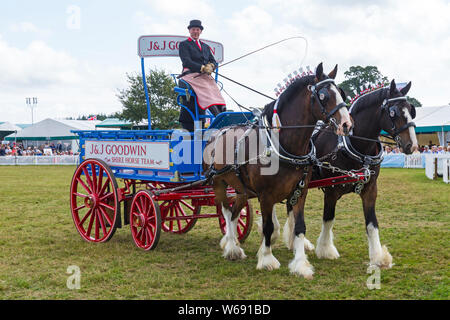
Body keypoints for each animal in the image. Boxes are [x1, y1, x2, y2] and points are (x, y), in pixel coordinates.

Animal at [202, 62, 354, 278]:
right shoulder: (265, 195)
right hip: (218, 183)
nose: (346, 124)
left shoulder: (300, 191)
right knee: (224, 210)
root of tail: (215, 134)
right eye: (324, 95)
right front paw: (267, 259)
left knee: (233, 214)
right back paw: (231, 247)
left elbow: (299, 226)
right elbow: (268, 226)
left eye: (342, 93)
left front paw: (300, 264)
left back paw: (235, 246)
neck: (283, 144)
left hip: (241, 189)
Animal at [284, 79, 420, 268]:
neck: (355, 146)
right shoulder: (331, 190)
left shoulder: (370, 189)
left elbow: (372, 222)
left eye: (411, 109)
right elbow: (329, 218)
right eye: (394, 112)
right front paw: (326, 250)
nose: (413, 145)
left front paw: (378, 257)